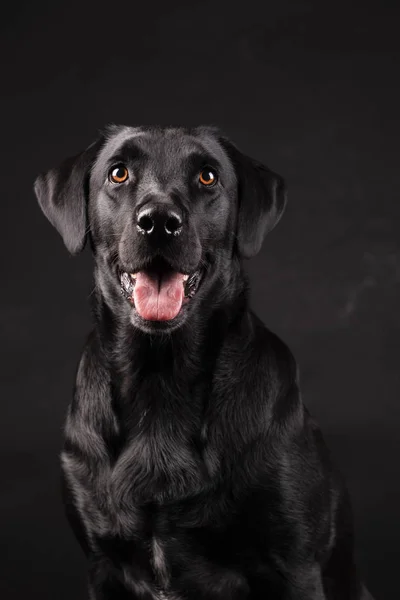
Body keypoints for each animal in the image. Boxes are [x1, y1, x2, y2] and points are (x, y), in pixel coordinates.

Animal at [34, 124, 376, 596]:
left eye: (208, 176)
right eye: (118, 172)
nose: (159, 223)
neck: (160, 378)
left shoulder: (296, 568)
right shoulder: (103, 565)